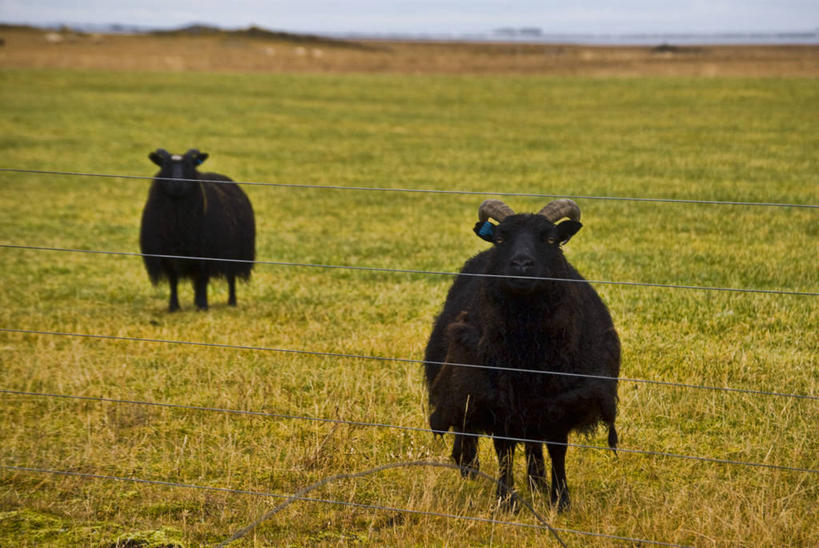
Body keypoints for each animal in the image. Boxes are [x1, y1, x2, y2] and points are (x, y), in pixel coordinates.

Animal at [139, 150, 256, 310]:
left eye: (189, 165)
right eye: (165, 164)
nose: (177, 183)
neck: (178, 222)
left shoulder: (205, 252)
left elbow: (203, 278)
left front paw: (203, 305)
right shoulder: (166, 253)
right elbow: (173, 279)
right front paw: (173, 306)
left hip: (234, 252)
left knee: (230, 277)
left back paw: (231, 301)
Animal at [426, 199, 620, 512]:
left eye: (551, 239)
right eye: (500, 239)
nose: (521, 265)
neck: (528, 346)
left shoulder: (560, 398)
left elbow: (556, 448)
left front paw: (560, 499)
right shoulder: (495, 397)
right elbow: (503, 449)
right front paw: (505, 500)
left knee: (532, 441)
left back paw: (536, 481)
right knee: (467, 428)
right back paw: (469, 468)